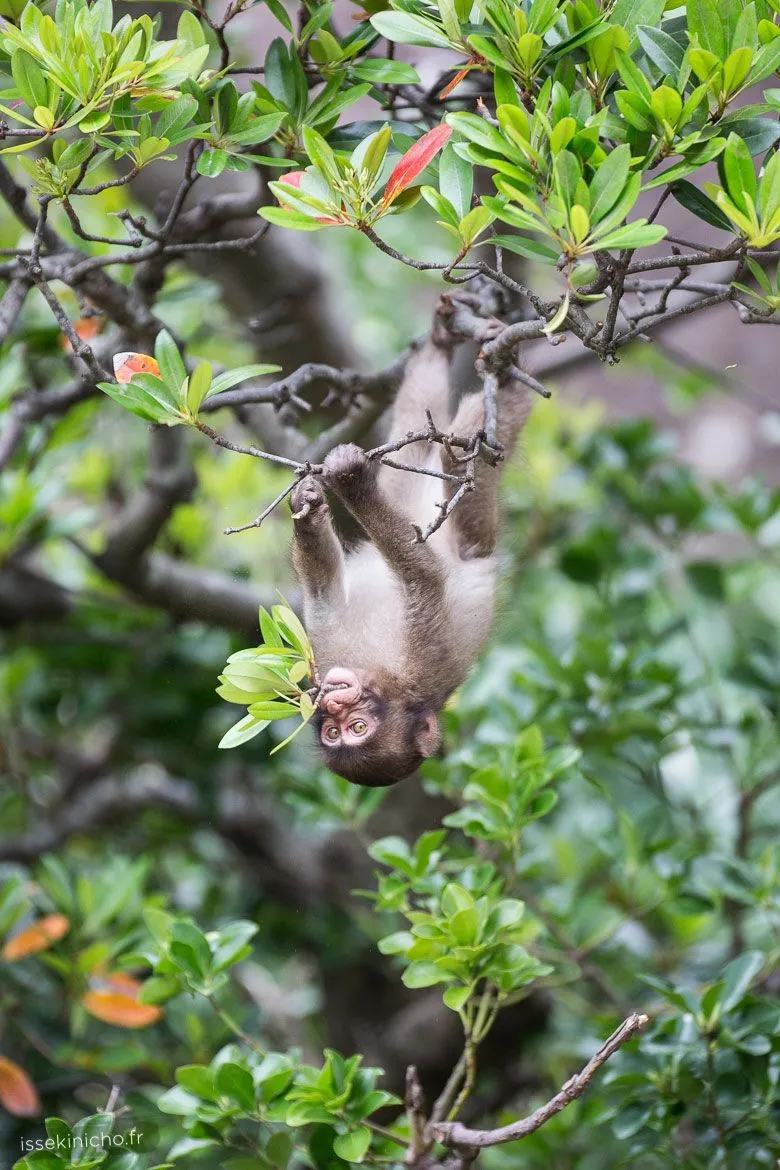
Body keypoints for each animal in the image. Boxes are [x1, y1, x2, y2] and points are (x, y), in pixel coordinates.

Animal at [289, 331, 531, 787]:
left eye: (357, 728)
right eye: (333, 734)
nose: (334, 705)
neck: (377, 669)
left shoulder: (416, 659)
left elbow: (426, 577)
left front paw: (350, 482)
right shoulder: (323, 662)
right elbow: (322, 588)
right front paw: (308, 511)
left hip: (468, 522)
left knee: (465, 471)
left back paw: (501, 369)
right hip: (412, 487)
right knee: (419, 447)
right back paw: (445, 342)